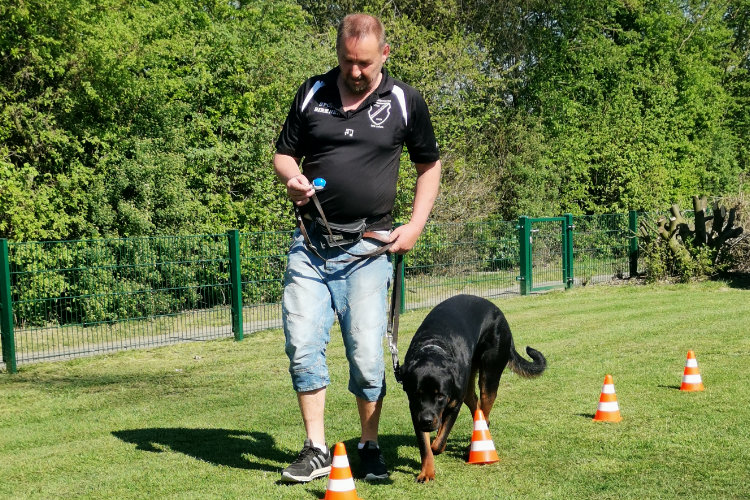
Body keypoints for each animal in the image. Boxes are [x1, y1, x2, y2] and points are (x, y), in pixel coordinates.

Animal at [400, 294, 548, 482]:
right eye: (417, 394)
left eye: (440, 396)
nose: (427, 421)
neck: (434, 347)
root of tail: (499, 313)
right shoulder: (416, 410)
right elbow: (425, 446)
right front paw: (426, 472)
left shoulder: (454, 404)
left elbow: (438, 442)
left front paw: (438, 445)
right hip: (469, 384)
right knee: (476, 406)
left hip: (489, 377)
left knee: (484, 411)